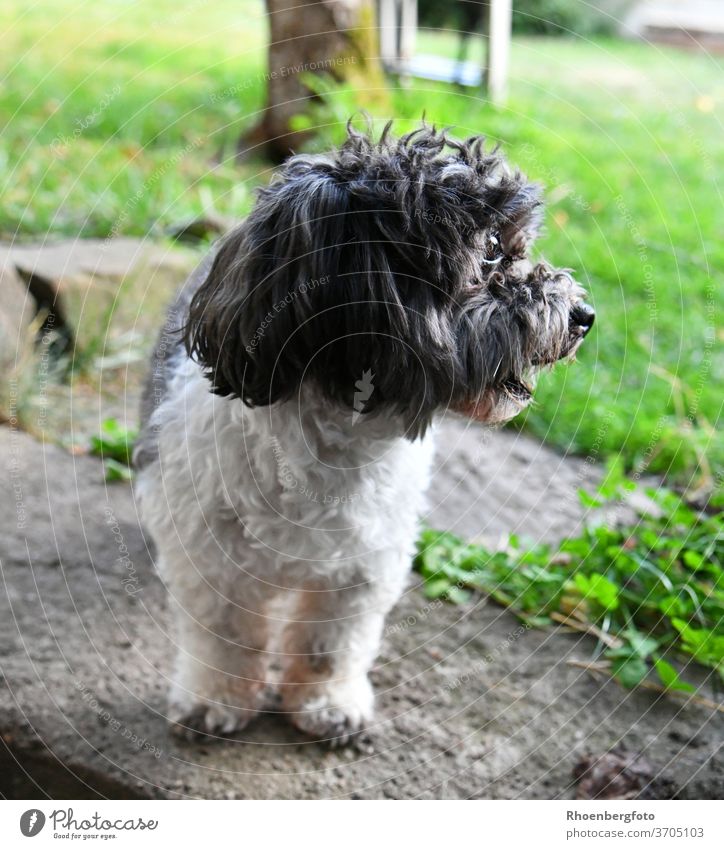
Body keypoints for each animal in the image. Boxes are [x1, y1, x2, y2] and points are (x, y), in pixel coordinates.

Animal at [134, 121, 592, 744]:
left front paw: (327, 705)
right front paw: (214, 703)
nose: (584, 315)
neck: (337, 437)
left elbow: (329, 645)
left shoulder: (364, 566)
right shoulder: (214, 560)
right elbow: (225, 638)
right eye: (492, 251)